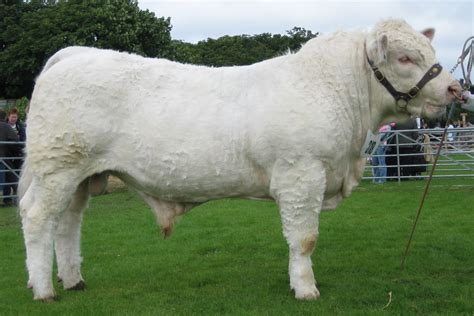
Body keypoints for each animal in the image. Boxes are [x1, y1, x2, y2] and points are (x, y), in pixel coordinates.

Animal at [20, 19, 462, 302]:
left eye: (430, 51)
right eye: (404, 58)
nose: (456, 88)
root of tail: (75, 54)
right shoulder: (302, 175)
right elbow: (305, 238)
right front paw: (306, 289)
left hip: (79, 175)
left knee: (68, 224)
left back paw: (73, 280)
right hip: (57, 167)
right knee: (39, 218)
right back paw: (44, 289)